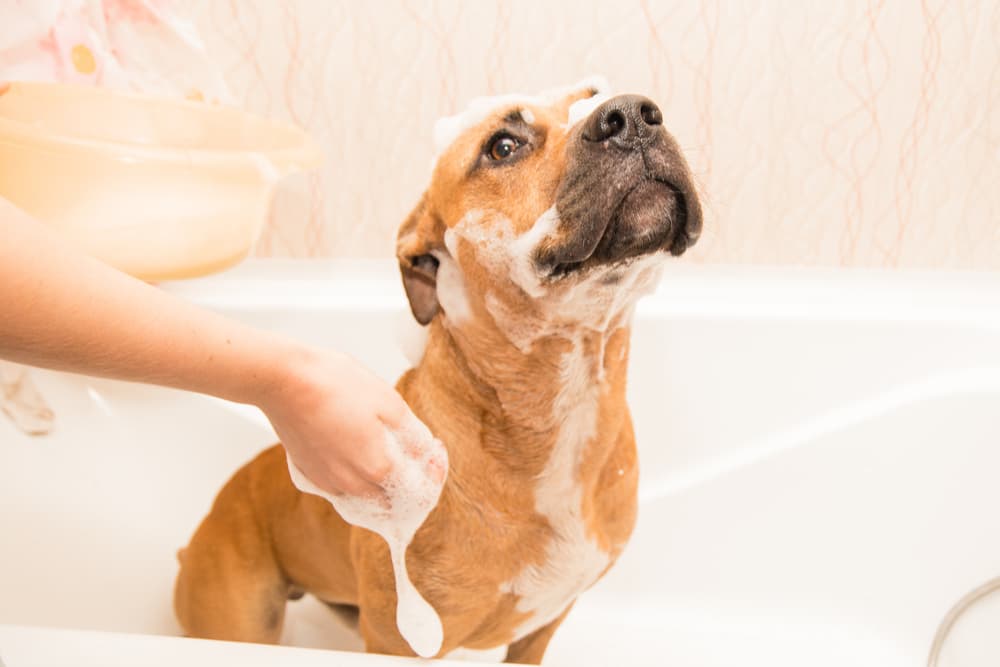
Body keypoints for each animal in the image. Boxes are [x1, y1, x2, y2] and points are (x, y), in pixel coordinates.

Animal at [172, 81, 704, 664]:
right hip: (238, 622)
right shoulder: (397, 640)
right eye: (502, 147)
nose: (631, 114)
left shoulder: (542, 626)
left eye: (595, 93)